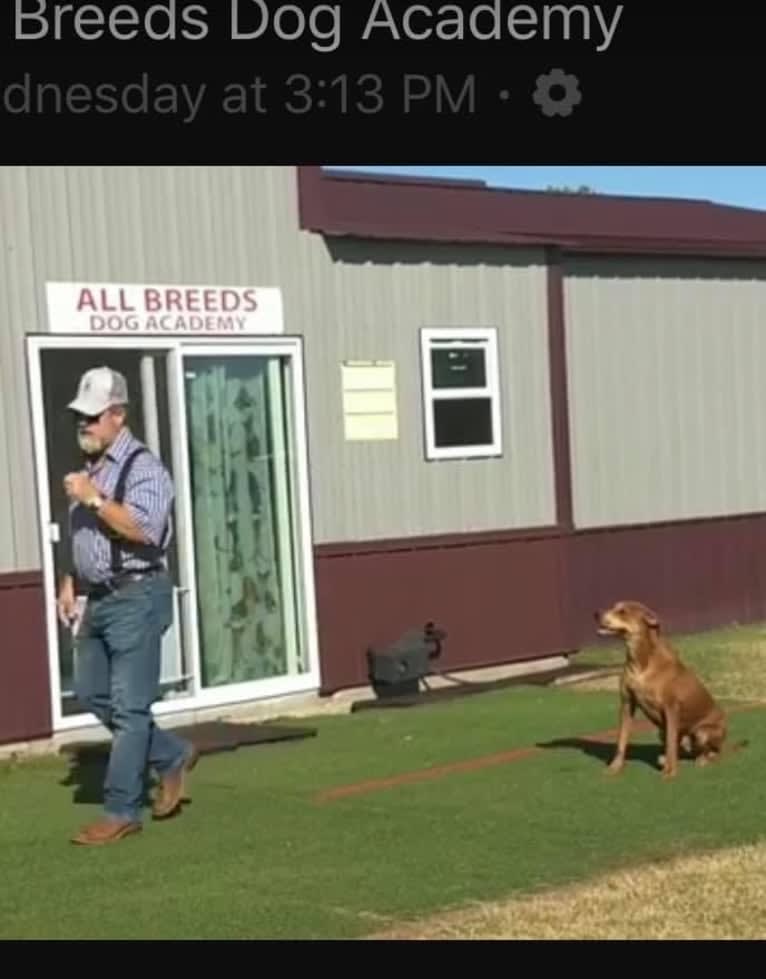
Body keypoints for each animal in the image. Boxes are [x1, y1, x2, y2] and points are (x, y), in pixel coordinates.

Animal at [592, 596, 744, 780]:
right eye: (613, 607)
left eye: (623, 611)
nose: (596, 613)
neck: (641, 661)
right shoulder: (627, 703)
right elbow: (621, 739)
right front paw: (615, 767)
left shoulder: (671, 707)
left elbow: (671, 742)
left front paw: (670, 773)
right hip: (662, 732)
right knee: (683, 750)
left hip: (703, 732)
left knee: (710, 751)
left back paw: (702, 759)